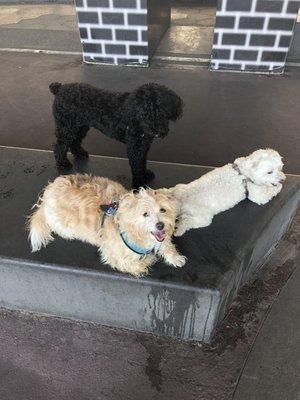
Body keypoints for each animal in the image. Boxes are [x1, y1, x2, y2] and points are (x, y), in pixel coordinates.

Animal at [49, 81, 183, 189]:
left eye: (163, 111)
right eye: (144, 113)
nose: (157, 131)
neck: (135, 117)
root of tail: (60, 88)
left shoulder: (143, 146)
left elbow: (143, 161)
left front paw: (145, 174)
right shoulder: (135, 147)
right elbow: (137, 166)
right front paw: (139, 184)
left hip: (80, 126)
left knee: (74, 141)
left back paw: (80, 154)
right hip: (66, 127)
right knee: (60, 146)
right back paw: (63, 163)